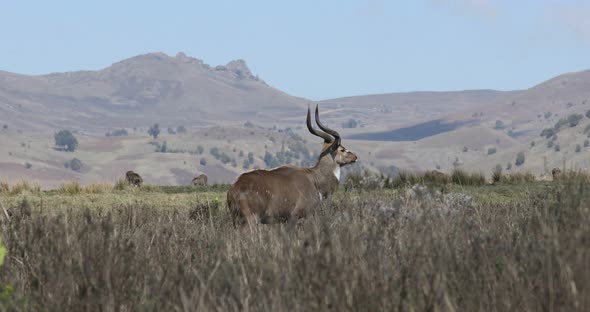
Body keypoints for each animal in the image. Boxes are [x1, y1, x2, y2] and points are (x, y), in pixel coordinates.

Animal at [227, 105, 356, 227]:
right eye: (342, 149)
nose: (355, 157)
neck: (314, 178)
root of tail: (233, 190)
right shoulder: (297, 218)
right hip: (250, 221)